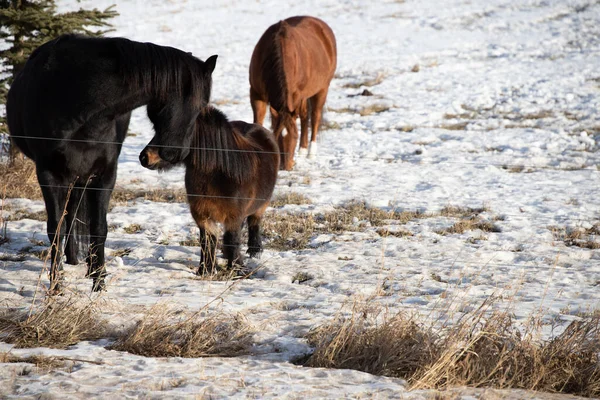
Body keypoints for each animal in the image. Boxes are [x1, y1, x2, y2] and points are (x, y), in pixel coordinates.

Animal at [7, 34, 218, 290]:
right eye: (200, 106)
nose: (176, 153)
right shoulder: (48, 174)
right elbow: (56, 228)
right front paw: (56, 287)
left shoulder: (105, 174)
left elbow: (99, 228)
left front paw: (98, 282)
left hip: (81, 177)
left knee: (75, 211)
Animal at [141, 107, 278, 276]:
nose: (144, 157)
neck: (219, 176)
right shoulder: (202, 215)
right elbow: (207, 241)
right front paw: (205, 270)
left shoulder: (234, 216)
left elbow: (232, 240)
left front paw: (237, 269)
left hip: (262, 204)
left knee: (254, 222)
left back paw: (255, 251)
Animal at [248, 16, 338, 170]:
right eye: (276, 135)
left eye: (295, 136)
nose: (286, 166)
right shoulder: (256, 94)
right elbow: (258, 121)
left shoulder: (296, 96)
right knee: (305, 115)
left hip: (322, 89)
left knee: (314, 116)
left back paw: (309, 152)